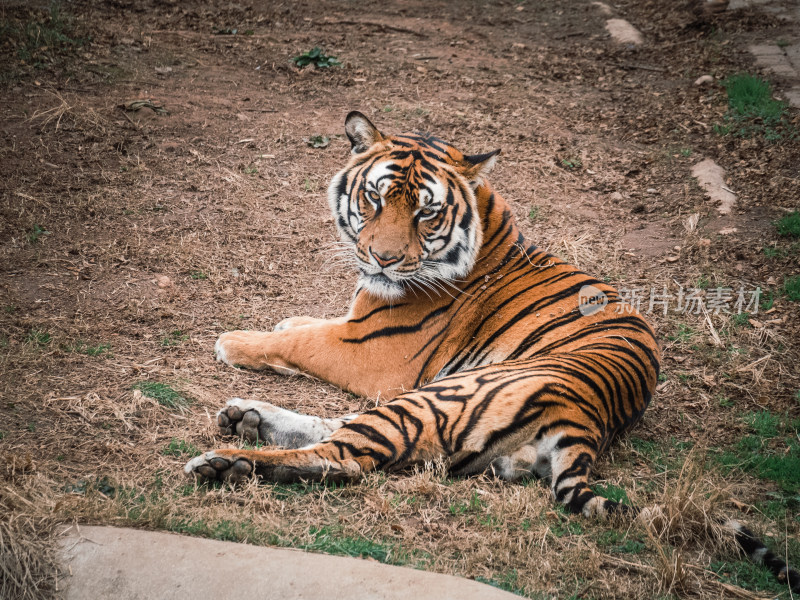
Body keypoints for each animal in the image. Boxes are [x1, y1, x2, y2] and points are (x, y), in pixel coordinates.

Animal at [186, 111, 800, 592]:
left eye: (426, 212)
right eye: (375, 197)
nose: (383, 259)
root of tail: (587, 420)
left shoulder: (371, 352)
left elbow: (302, 339)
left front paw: (235, 340)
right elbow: (308, 323)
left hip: (442, 393)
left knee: (347, 458)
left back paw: (225, 462)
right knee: (343, 434)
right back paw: (244, 417)